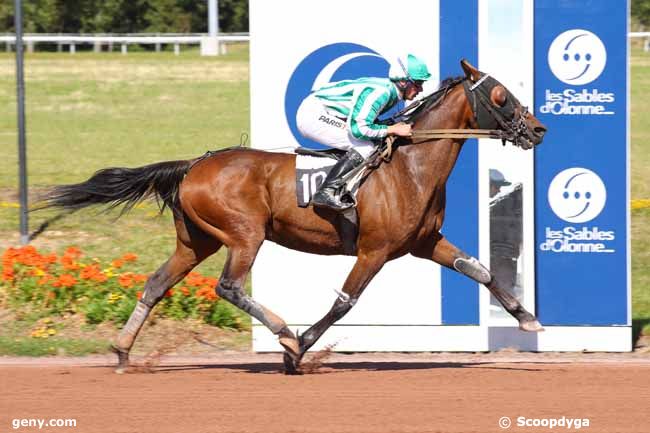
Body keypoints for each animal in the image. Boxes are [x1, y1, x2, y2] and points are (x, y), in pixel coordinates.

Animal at [39, 59, 548, 372]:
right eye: (500, 96)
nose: (539, 129)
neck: (410, 165)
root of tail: (194, 165)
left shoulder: (423, 242)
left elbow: (479, 269)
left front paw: (528, 319)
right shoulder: (375, 250)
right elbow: (344, 302)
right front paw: (297, 349)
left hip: (196, 240)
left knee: (156, 284)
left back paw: (123, 352)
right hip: (244, 235)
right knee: (229, 286)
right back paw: (283, 332)